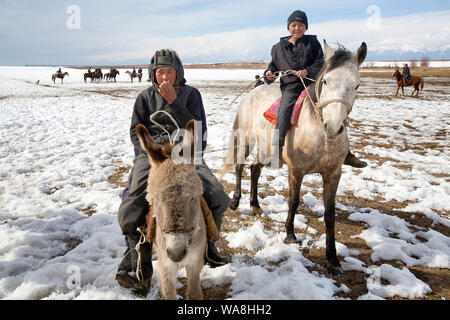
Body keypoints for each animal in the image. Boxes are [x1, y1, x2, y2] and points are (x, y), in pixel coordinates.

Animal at [136, 119, 207, 298]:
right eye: (157, 199)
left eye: (193, 198)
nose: (176, 253)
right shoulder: (165, 267)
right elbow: (168, 294)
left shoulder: (195, 263)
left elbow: (195, 294)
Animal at [221, 40, 366, 276]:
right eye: (325, 81)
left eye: (357, 85)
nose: (333, 127)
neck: (320, 134)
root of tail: (254, 91)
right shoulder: (296, 171)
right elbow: (294, 201)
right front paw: (290, 234)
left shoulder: (333, 174)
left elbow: (330, 213)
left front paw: (333, 259)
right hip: (245, 139)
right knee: (240, 166)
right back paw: (235, 201)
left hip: (265, 149)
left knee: (255, 169)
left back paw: (255, 205)